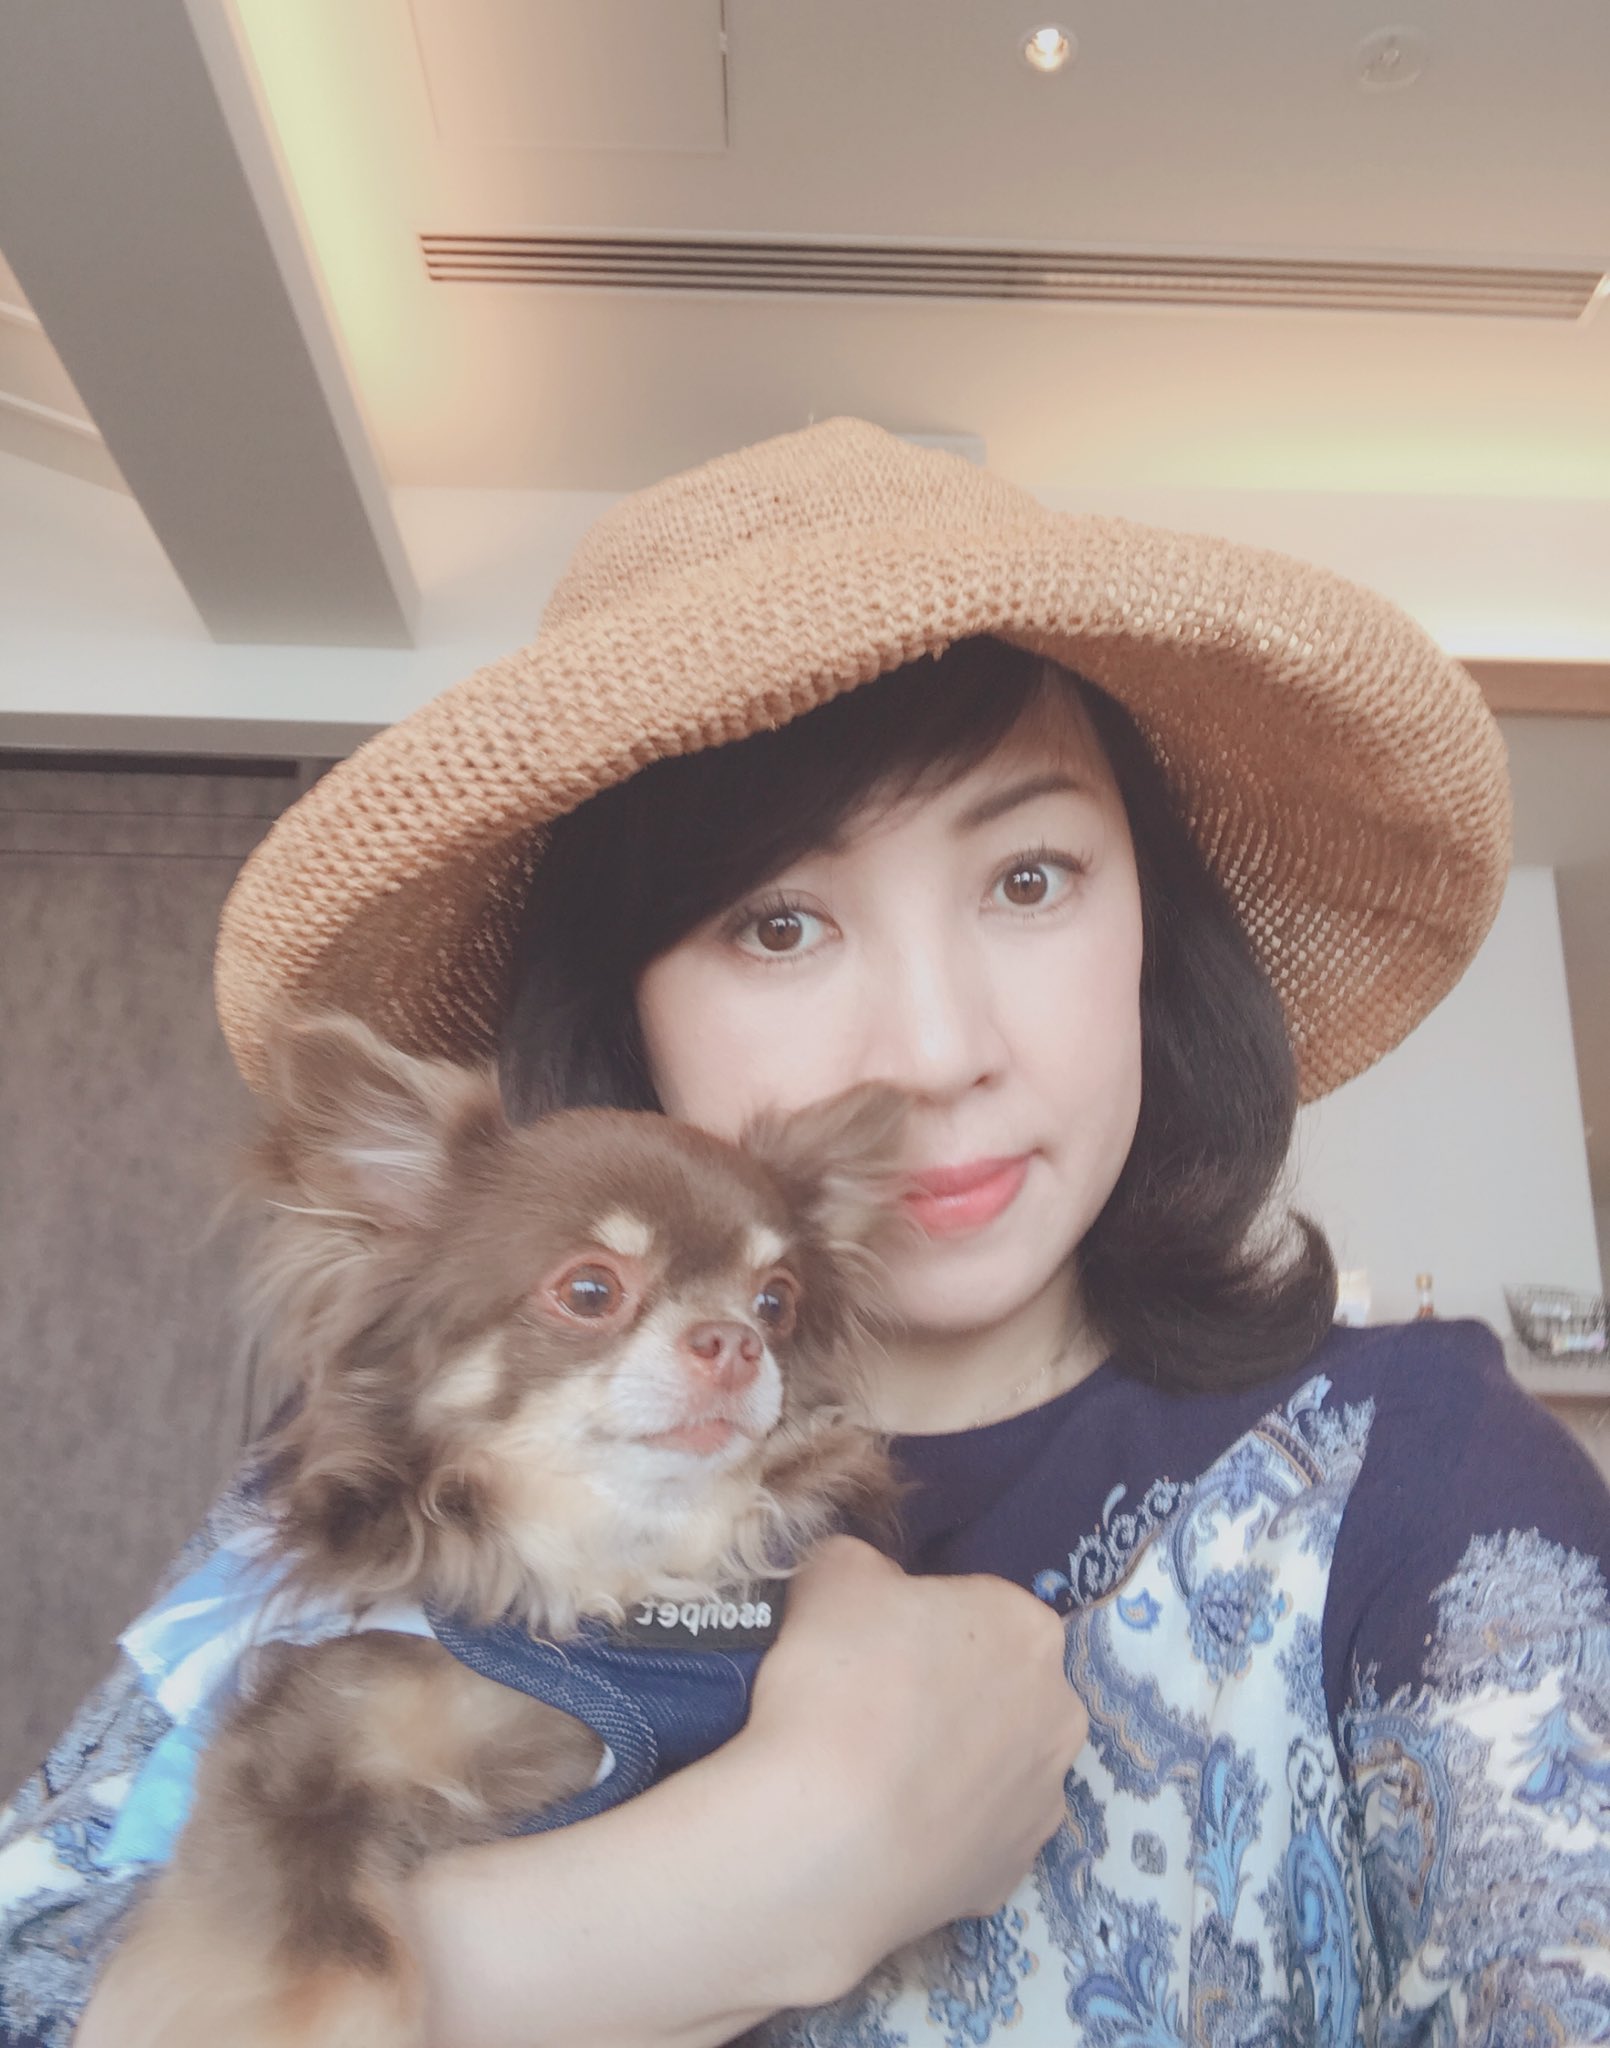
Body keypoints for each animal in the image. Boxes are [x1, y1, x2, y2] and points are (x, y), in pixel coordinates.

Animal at [96, 1011, 906, 2045]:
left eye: (778, 1301)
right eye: (591, 1291)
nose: (736, 1341)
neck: (612, 1573)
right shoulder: (286, 1770)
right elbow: (342, 1964)